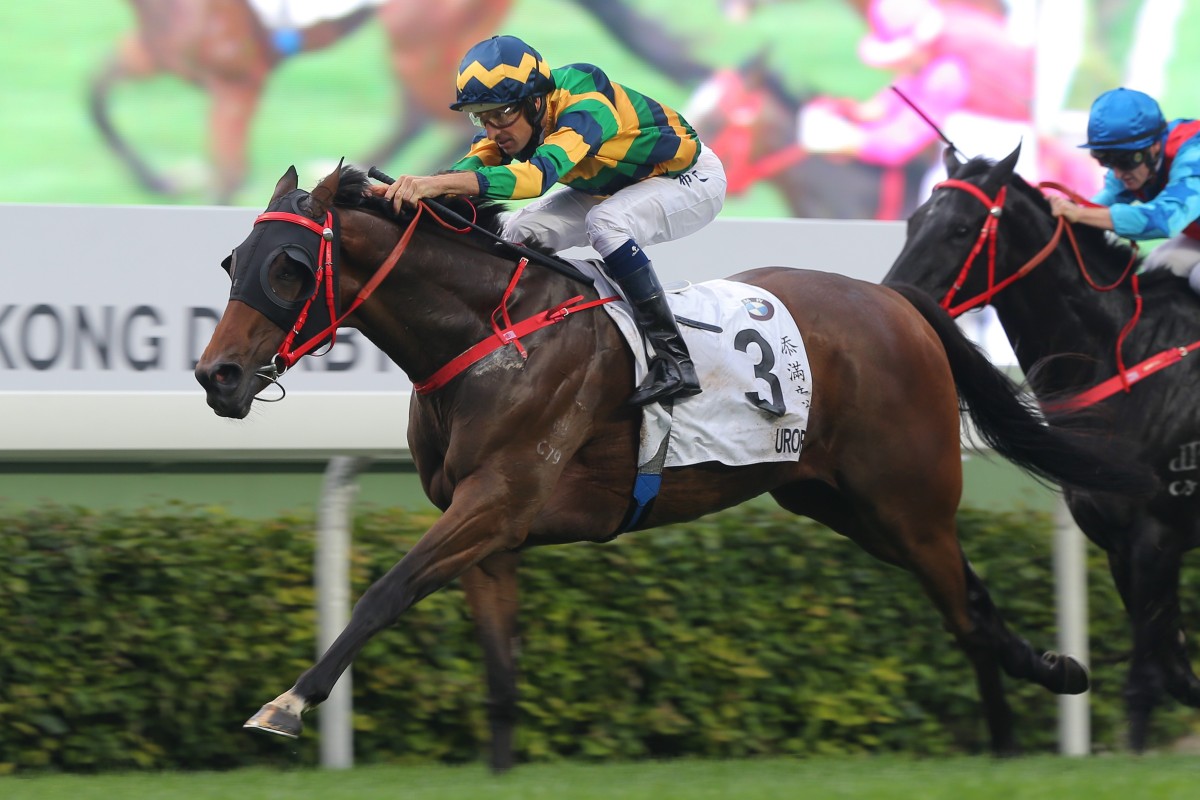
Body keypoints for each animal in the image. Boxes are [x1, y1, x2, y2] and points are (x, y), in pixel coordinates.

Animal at [194, 160, 1152, 762]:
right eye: (233, 259)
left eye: (287, 267)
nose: (217, 377)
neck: (487, 336)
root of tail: (898, 301)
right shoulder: (487, 530)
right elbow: (500, 672)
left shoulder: (495, 501)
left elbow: (384, 592)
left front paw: (286, 703)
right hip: (839, 502)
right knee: (970, 606)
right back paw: (1029, 706)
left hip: (907, 504)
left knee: (965, 610)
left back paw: (1036, 702)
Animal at [883, 146, 1200, 753]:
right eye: (913, 222)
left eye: (962, 229)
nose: (891, 299)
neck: (1123, 359)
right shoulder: (1117, 542)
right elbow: (1173, 665)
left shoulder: (1157, 534)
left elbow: (1147, 677)